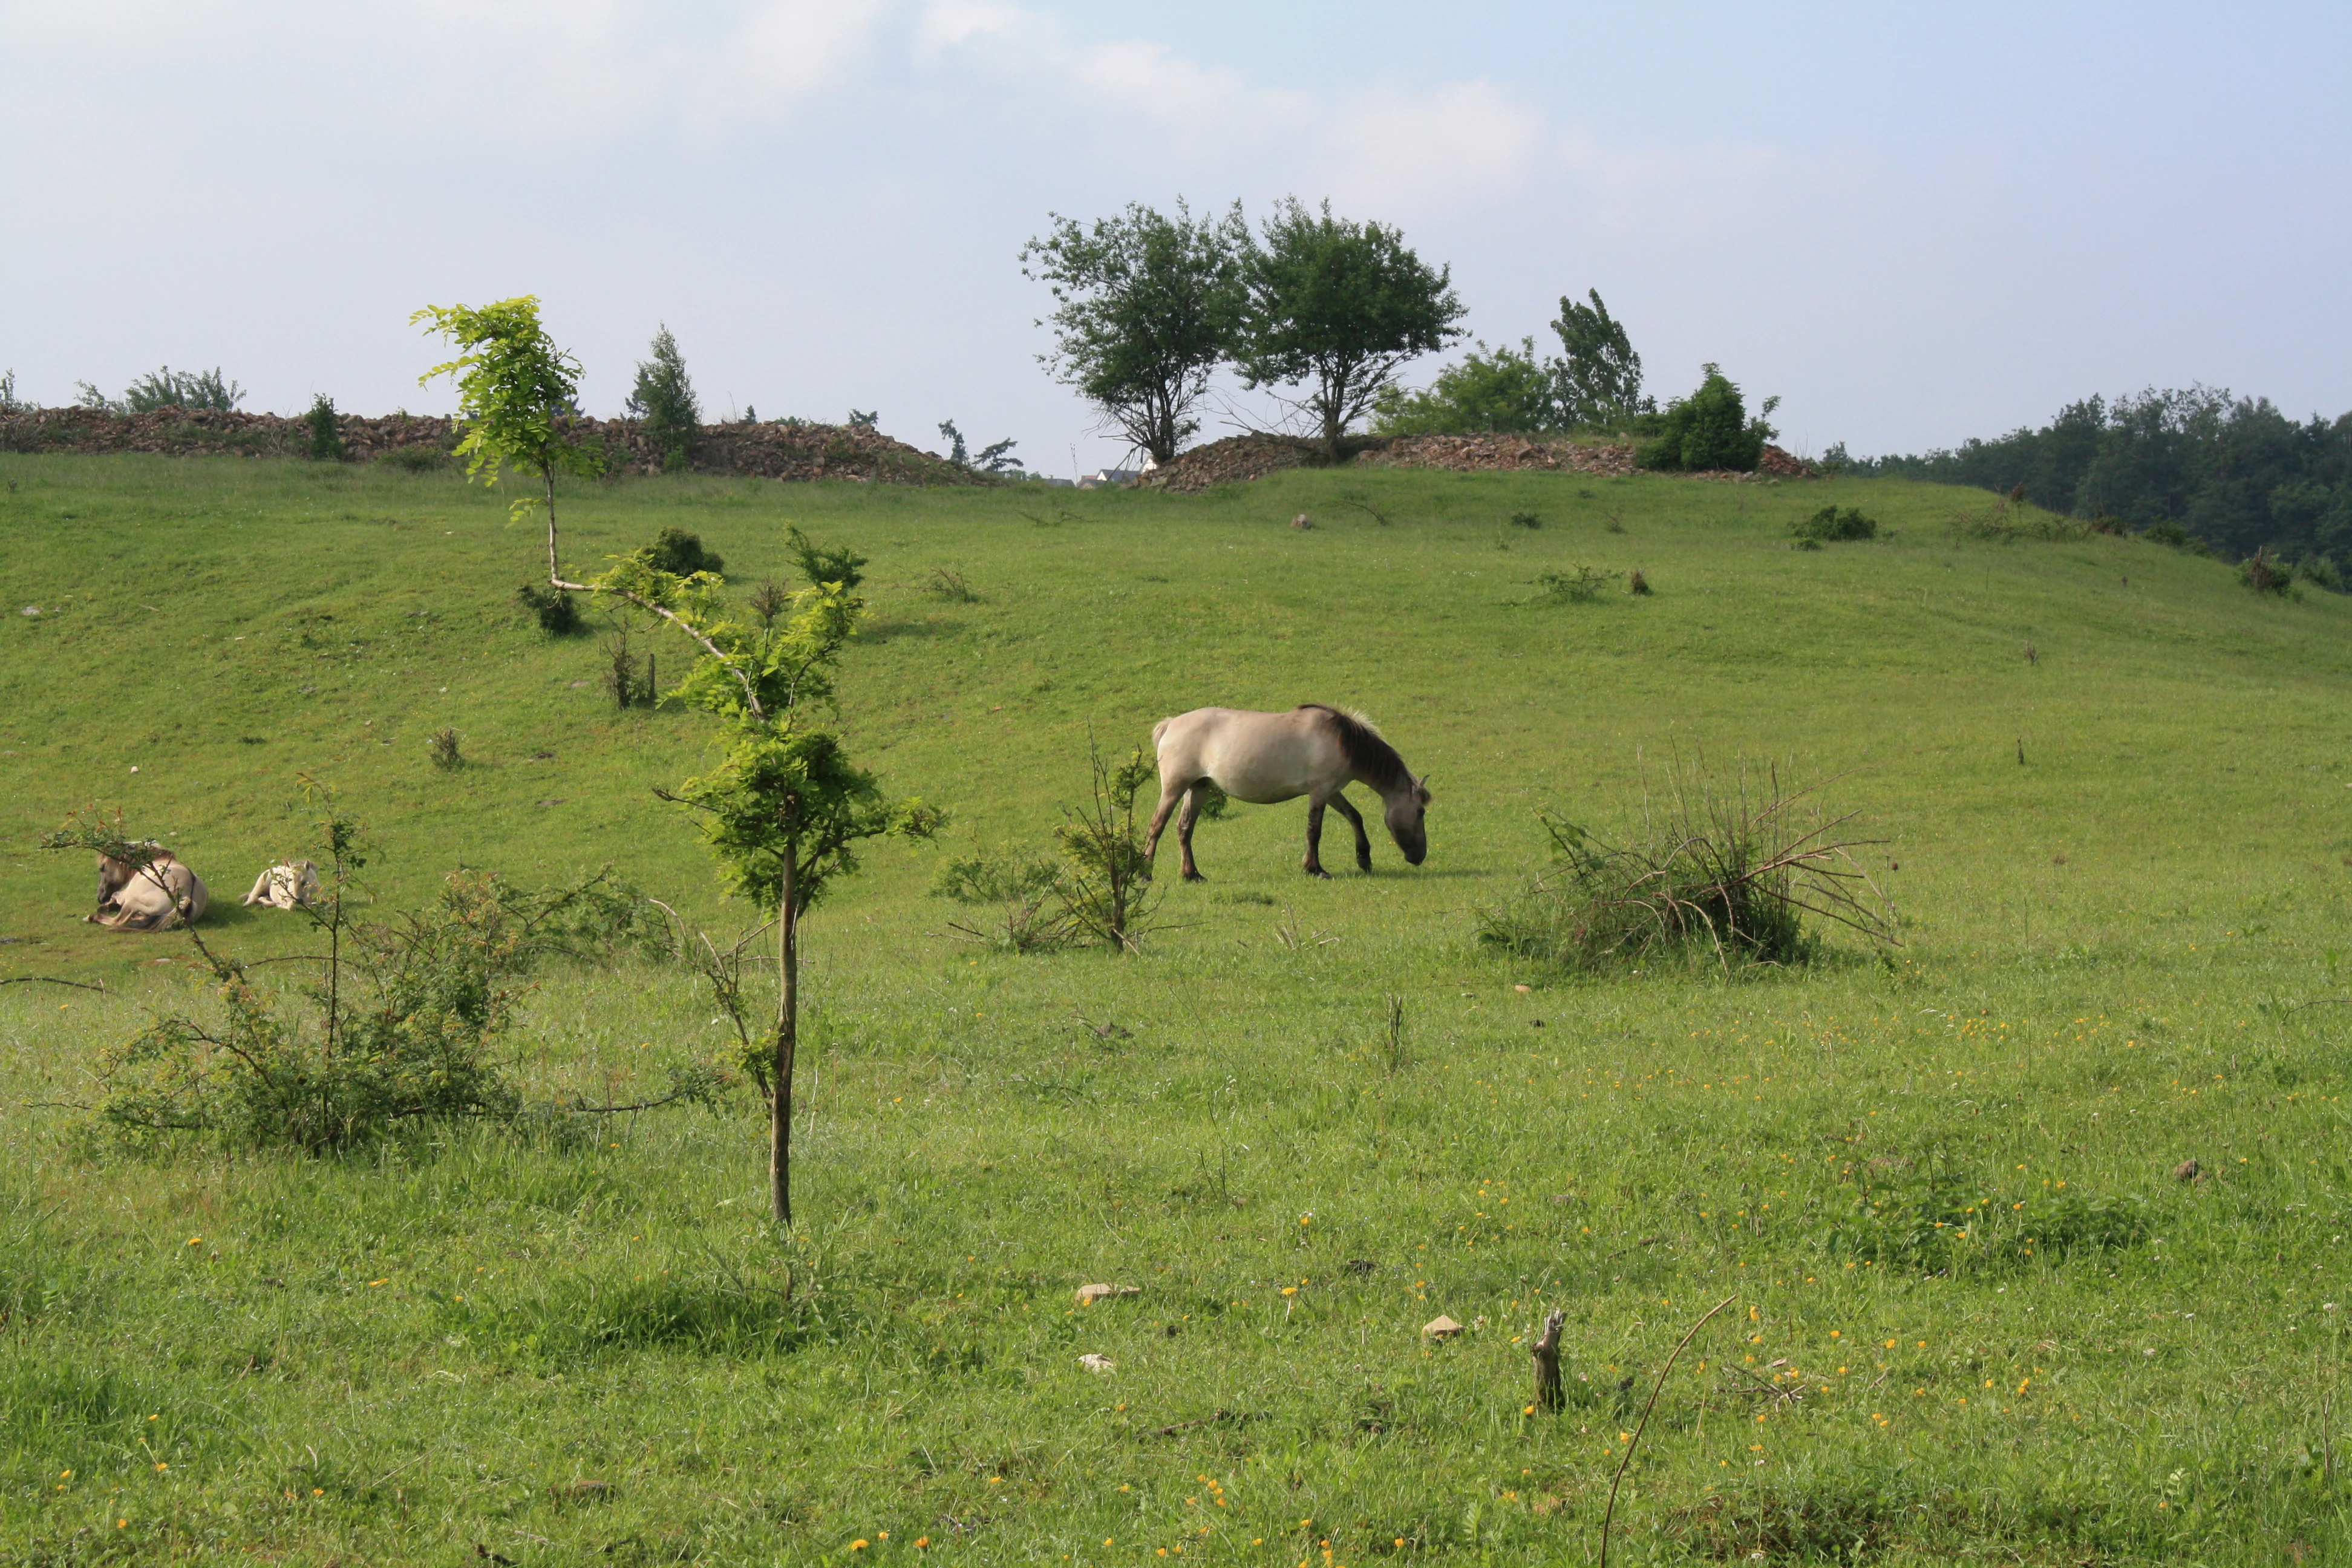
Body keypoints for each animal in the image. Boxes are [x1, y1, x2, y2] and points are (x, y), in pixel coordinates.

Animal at [1145, 704, 1431, 880]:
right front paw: (1315, 869)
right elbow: (1314, 831)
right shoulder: (1320, 792)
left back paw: (1192, 874)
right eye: (1420, 811)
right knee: (1156, 826)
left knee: (1184, 829)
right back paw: (1146, 873)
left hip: (1198, 788)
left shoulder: (1332, 791)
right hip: (1174, 789)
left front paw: (1364, 859)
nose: (1419, 856)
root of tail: (1171, 724)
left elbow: (1355, 817)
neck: (1341, 740)